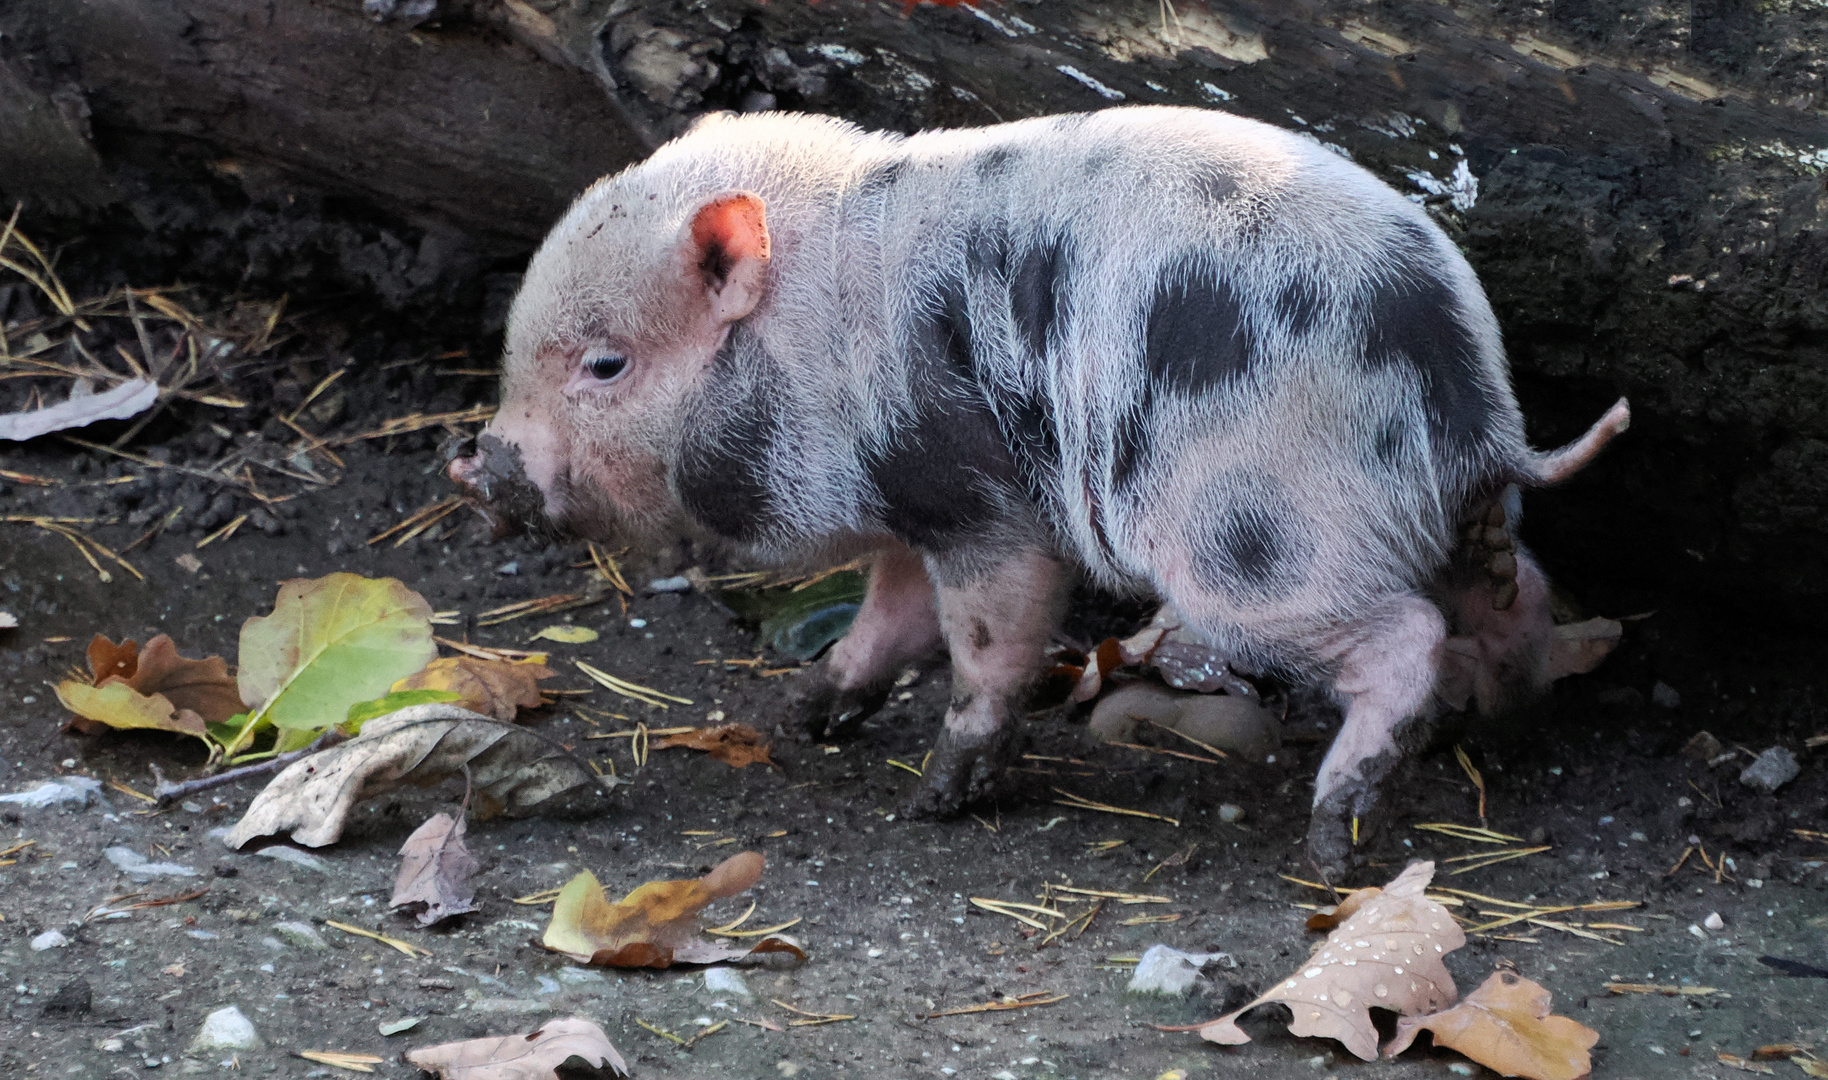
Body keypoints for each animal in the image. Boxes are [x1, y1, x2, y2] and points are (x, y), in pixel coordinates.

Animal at [446, 107, 1630, 869]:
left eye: (606, 365)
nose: (483, 465)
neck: (813, 338)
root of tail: (1466, 387)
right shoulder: (910, 500)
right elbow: (888, 614)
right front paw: (803, 715)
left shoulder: (980, 498)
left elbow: (990, 639)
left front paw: (930, 802)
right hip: (1443, 513)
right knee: (1513, 589)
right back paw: (1507, 717)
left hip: (1256, 540)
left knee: (1403, 635)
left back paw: (1332, 840)